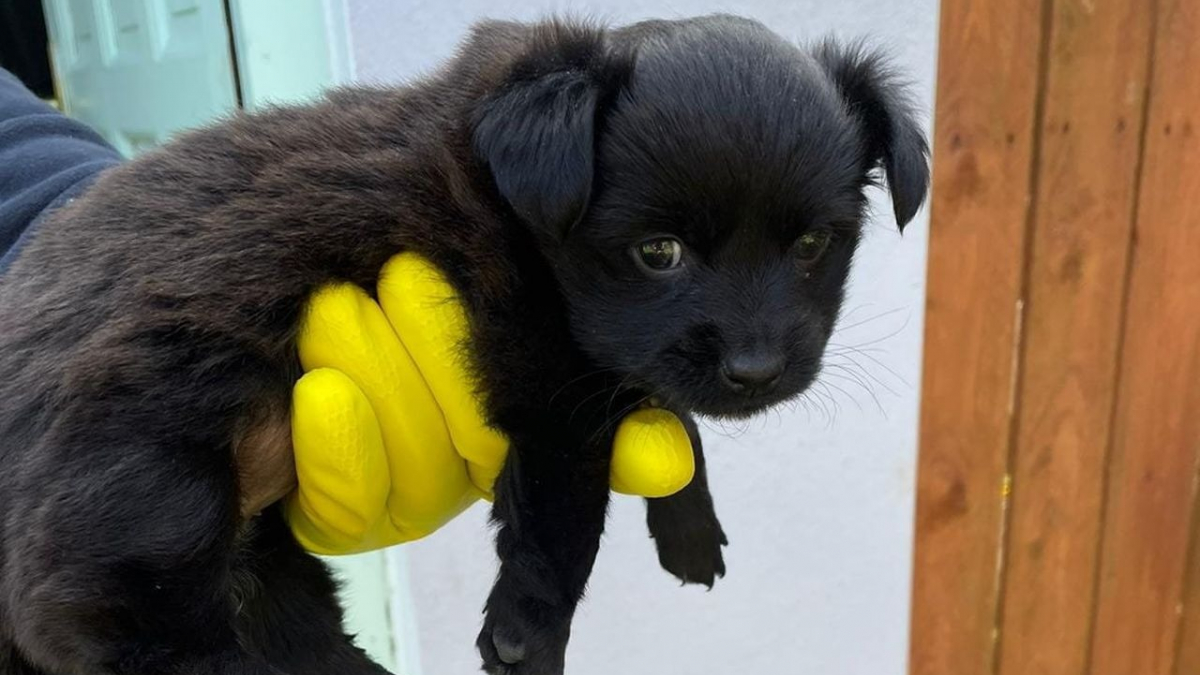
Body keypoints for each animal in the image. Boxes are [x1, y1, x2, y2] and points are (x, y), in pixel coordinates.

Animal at [0, 11, 926, 672]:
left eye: (814, 245)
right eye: (658, 252)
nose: (756, 370)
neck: (510, 195)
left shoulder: (604, 356)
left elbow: (663, 408)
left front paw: (690, 518)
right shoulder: (547, 383)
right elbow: (563, 520)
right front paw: (529, 633)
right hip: (146, 476)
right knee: (107, 615)